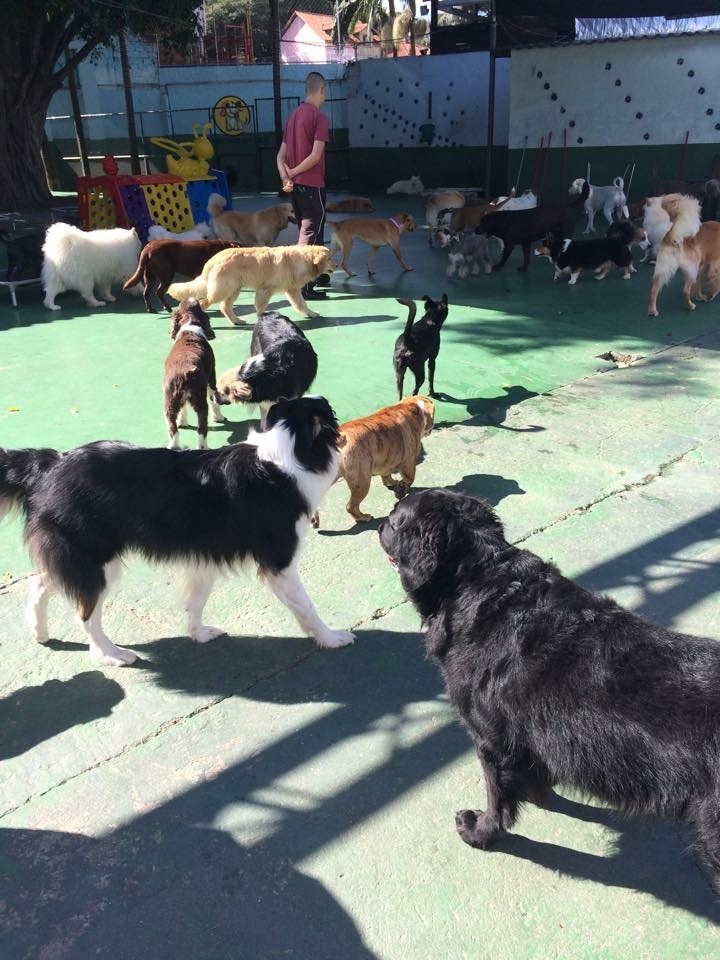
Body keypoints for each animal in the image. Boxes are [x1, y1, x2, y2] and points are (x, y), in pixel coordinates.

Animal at [0, 394, 354, 664]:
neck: (287, 453)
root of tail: (53, 463)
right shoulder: (280, 563)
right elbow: (306, 606)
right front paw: (331, 637)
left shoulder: (205, 557)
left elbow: (195, 602)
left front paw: (199, 634)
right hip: (99, 563)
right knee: (84, 614)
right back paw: (112, 654)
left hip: (80, 556)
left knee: (41, 582)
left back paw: (39, 631)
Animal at [163, 298, 225, 448]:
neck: (189, 326)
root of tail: (184, 372)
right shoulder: (212, 376)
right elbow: (214, 400)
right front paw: (218, 417)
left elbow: (183, 409)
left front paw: (183, 422)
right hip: (200, 401)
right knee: (202, 428)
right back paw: (203, 447)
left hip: (169, 402)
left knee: (173, 428)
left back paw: (173, 446)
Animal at [167, 246, 336, 324]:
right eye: (329, 258)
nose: (337, 265)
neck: (303, 260)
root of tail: (212, 260)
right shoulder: (265, 290)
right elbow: (261, 306)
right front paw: (262, 317)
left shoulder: (291, 290)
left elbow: (301, 304)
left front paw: (311, 313)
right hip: (222, 290)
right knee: (204, 302)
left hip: (233, 290)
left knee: (225, 307)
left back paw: (237, 321)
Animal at [382, 488, 720, 892]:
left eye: (394, 519)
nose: (380, 523)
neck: (484, 586)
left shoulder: (490, 740)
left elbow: (497, 795)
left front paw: (482, 832)